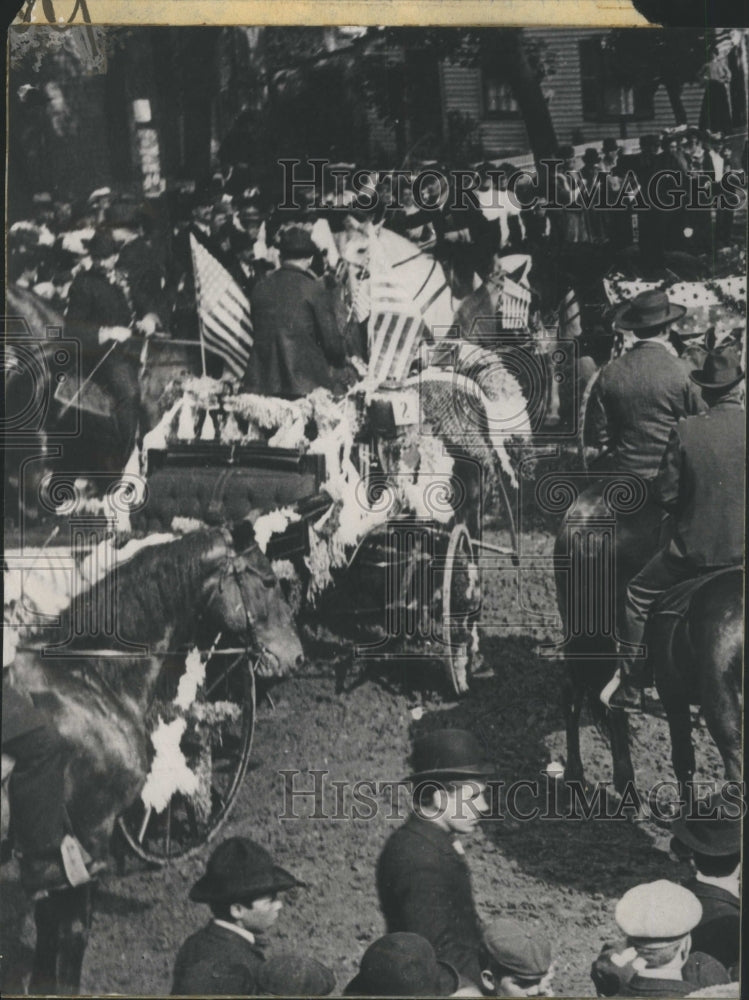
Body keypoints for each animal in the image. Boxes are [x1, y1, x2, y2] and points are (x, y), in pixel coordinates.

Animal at [5, 524, 304, 992]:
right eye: (269, 581)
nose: (296, 654)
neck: (86, 679)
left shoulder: (54, 855)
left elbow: (48, 931)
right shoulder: (88, 836)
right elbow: (72, 934)